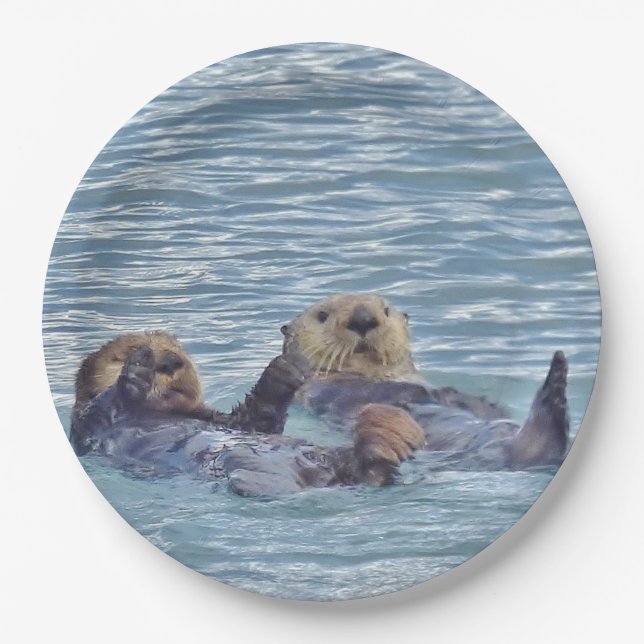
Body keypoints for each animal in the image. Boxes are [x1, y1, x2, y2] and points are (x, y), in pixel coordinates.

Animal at [70, 332, 425, 496]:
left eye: (178, 348)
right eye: (126, 351)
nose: (171, 360)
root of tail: (322, 478)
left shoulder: (224, 419)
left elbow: (256, 421)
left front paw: (284, 370)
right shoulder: (89, 424)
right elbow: (104, 402)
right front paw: (139, 369)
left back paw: (390, 433)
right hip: (244, 465)